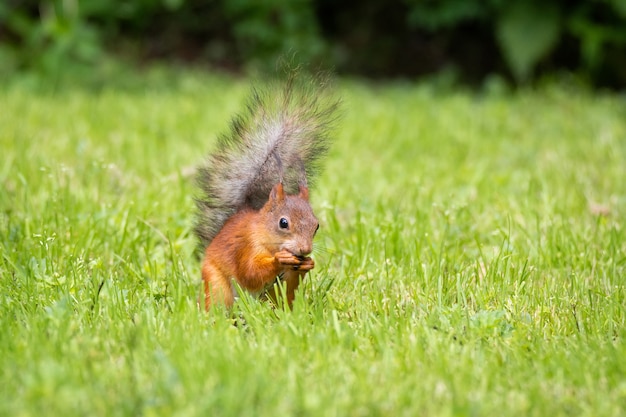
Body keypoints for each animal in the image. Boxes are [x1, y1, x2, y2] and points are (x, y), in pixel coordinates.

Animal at [195, 74, 338, 308]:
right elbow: (251, 273)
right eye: (283, 223)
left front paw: (308, 263)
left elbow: (291, 283)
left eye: (316, 225)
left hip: (272, 295)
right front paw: (281, 260)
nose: (305, 250)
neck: (269, 239)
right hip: (216, 286)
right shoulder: (246, 246)